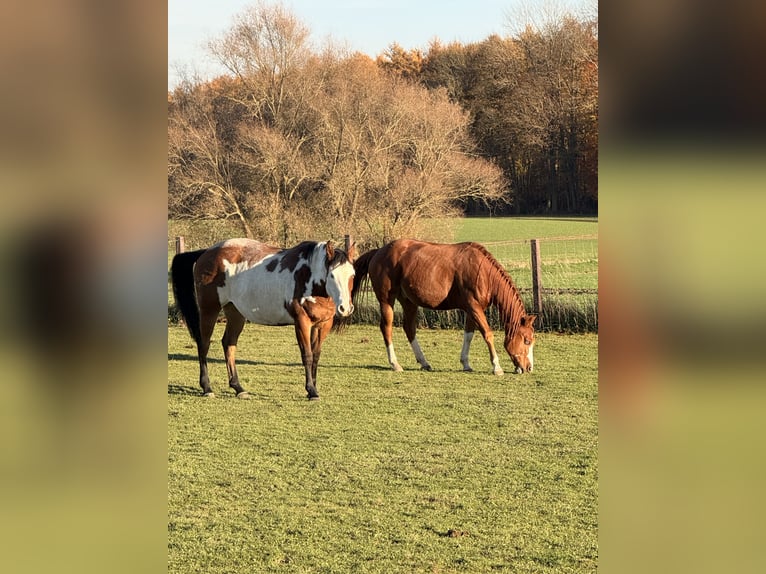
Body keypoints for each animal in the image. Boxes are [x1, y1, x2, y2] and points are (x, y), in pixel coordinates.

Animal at [170, 238, 356, 400]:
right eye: (332, 275)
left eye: (352, 275)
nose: (345, 308)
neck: (308, 275)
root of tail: (207, 252)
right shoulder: (302, 322)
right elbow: (307, 356)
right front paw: (311, 390)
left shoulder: (323, 324)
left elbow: (316, 356)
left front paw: (313, 388)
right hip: (210, 309)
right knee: (204, 344)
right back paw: (207, 388)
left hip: (235, 312)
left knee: (228, 344)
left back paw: (238, 388)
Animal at [352, 239, 536, 375]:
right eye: (527, 340)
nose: (528, 368)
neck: (484, 273)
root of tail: (379, 251)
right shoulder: (474, 308)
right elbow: (488, 334)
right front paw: (496, 367)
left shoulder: (472, 310)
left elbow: (469, 335)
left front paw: (466, 363)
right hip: (386, 301)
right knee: (387, 328)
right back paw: (395, 364)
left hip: (409, 302)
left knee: (409, 328)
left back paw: (424, 362)